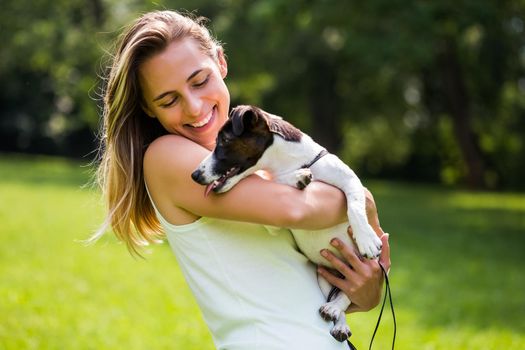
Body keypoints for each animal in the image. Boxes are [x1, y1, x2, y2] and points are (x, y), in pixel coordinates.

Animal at [192, 104, 380, 342]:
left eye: (224, 140)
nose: (194, 175)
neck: (291, 162)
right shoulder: (276, 217)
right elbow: (275, 180)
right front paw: (297, 177)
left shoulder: (351, 180)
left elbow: (354, 206)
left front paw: (366, 240)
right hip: (323, 275)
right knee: (338, 295)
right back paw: (337, 319)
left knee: (346, 295)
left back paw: (336, 310)